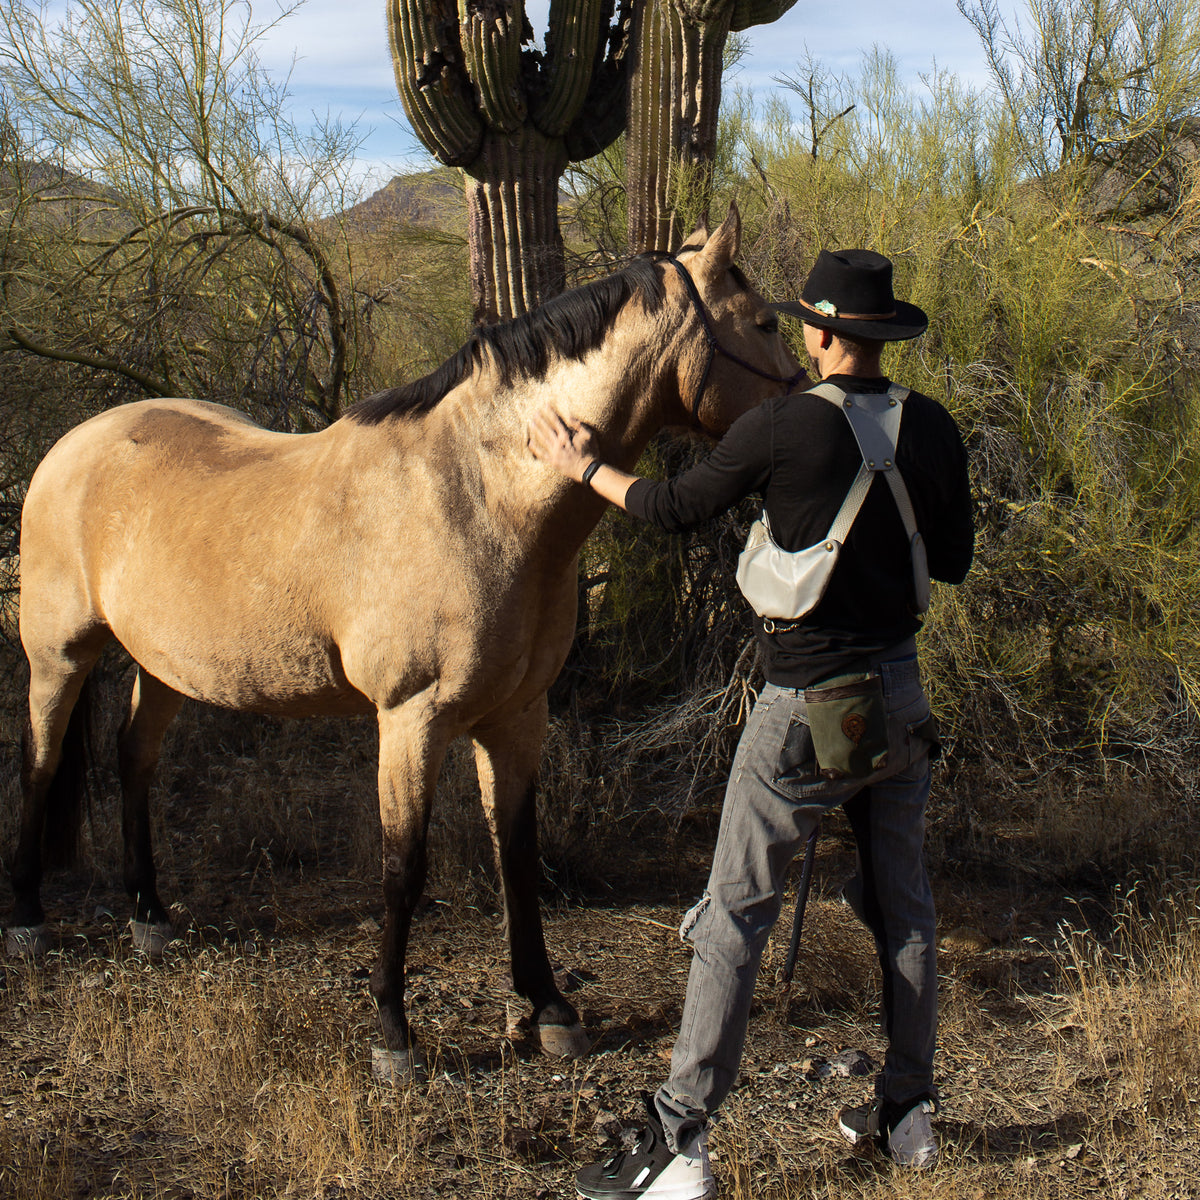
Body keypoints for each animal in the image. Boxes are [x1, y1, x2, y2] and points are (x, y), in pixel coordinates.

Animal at [8, 204, 804, 1077]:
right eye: (765, 322)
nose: (813, 407)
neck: (483, 496)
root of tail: (75, 444)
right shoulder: (411, 720)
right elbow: (403, 866)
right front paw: (393, 1029)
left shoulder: (517, 717)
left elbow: (516, 854)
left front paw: (548, 1006)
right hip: (59, 654)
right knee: (41, 762)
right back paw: (28, 921)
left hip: (167, 666)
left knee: (133, 760)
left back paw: (149, 914)